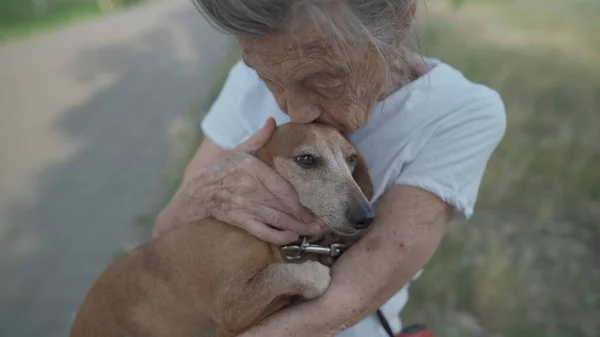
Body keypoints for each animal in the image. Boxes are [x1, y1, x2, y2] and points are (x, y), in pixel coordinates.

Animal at [68, 122, 372, 336]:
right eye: (307, 159)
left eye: (351, 159)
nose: (366, 216)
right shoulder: (230, 302)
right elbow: (280, 274)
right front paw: (311, 274)